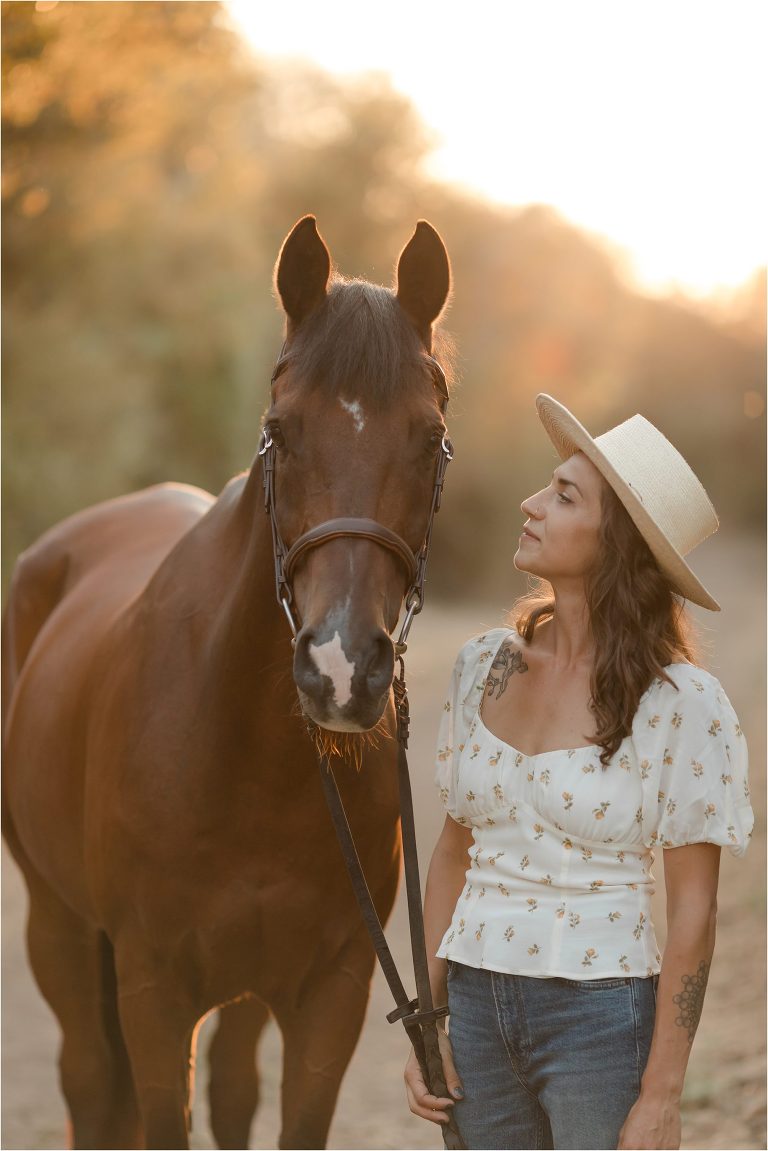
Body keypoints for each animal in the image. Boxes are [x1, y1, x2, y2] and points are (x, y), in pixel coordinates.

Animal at [2, 215, 453, 1150]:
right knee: (88, 1082)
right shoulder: (153, 990)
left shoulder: (333, 992)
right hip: (59, 928)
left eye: (430, 436)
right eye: (281, 426)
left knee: (232, 1087)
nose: (340, 669)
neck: (244, 751)